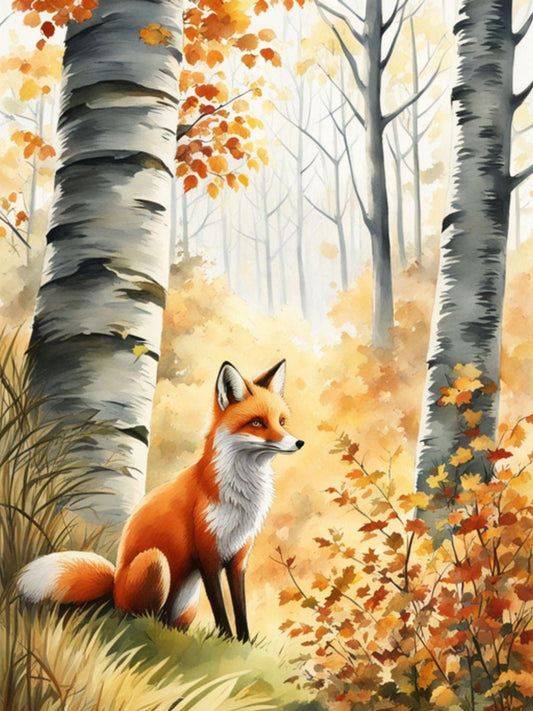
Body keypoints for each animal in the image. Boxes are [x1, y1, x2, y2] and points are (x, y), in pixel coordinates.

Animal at [17, 359, 303, 641]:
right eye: (257, 423)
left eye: (281, 421)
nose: (299, 442)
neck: (240, 496)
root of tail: (114, 589)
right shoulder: (207, 553)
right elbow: (220, 607)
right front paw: (227, 638)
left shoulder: (238, 556)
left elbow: (239, 607)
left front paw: (243, 642)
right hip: (156, 562)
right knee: (138, 617)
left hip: (186, 602)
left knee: (168, 621)